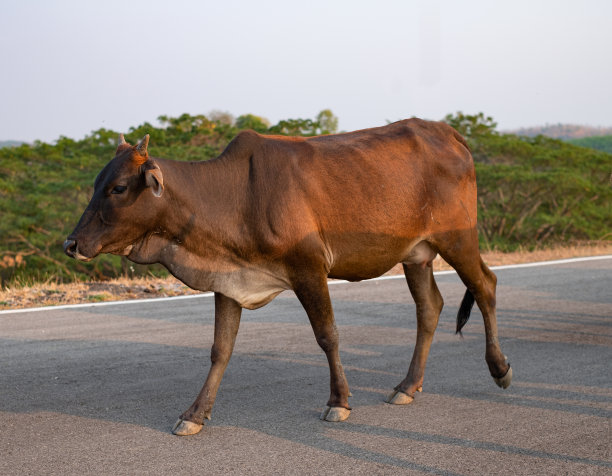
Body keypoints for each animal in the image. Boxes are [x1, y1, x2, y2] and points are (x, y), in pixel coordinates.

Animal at [64, 119, 512, 436]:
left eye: (119, 187)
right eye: (98, 183)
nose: (71, 243)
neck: (236, 196)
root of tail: (445, 131)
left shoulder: (309, 268)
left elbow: (328, 335)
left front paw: (339, 402)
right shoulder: (230, 281)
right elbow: (220, 350)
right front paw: (195, 414)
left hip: (457, 237)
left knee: (485, 286)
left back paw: (499, 368)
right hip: (416, 254)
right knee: (429, 307)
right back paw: (407, 386)